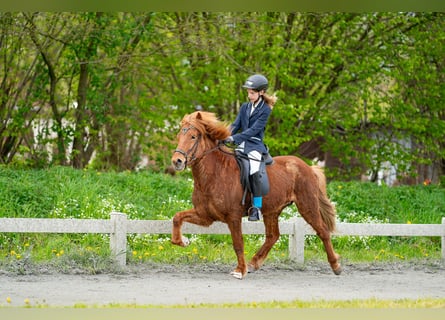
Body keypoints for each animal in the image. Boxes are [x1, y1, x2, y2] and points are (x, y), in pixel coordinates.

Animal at [170, 111, 340, 278]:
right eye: (179, 136)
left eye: (193, 136)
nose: (177, 161)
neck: (215, 174)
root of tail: (308, 167)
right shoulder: (205, 215)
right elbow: (177, 218)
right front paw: (183, 241)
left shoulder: (233, 217)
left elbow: (238, 243)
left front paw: (240, 270)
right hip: (272, 210)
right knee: (273, 236)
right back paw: (254, 263)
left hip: (307, 206)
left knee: (323, 231)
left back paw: (336, 266)